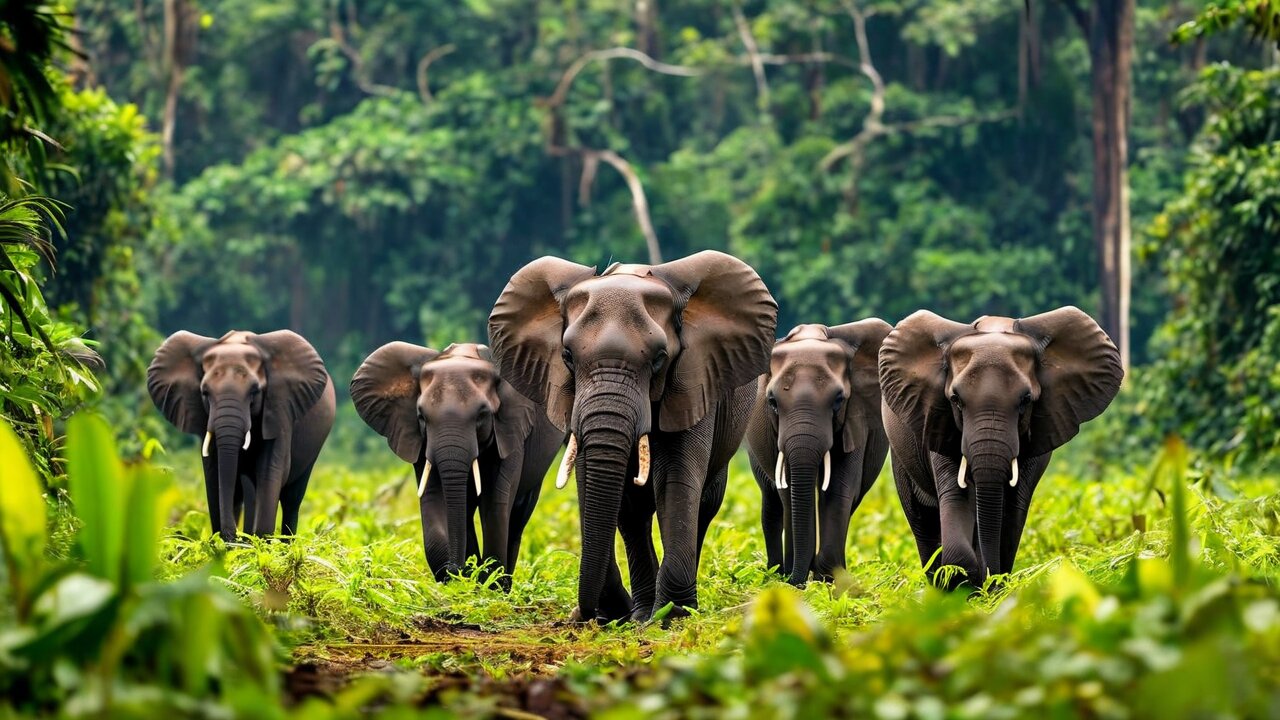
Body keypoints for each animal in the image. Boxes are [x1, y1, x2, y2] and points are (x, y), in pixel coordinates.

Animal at [147, 330, 336, 541]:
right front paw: (226, 543)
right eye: (205, 393)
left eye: (255, 391)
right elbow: (215, 475)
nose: (233, 536)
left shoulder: (280, 410)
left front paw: (260, 542)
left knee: (291, 498)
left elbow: (269, 470)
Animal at [349, 341, 562, 588]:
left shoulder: (510, 430)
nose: (457, 568)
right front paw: (459, 582)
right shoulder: (421, 440)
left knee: (518, 514)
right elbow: (433, 496)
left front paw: (489, 587)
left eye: (482, 414)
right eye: (421, 416)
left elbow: (495, 499)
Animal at [489, 250, 777, 622]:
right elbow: (602, 487)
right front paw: (631, 615)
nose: (583, 615)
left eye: (659, 359)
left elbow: (676, 479)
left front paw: (672, 615)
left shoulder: (692, 380)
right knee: (636, 513)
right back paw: (641, 612)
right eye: (567, 357)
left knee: (704, 504)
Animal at [744, 320, 892, 586]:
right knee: (771, 500)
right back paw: (776, 572)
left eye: (838, 400)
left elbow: (838, 486)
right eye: (772, 401)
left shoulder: (855, 416)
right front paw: (797, 579)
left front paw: (828, 578)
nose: (799, 579)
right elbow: (788, 490)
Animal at [878, 307, 1123, 588]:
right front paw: (964, 583)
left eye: (1026, 400)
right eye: (956, 400)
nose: (989, 579)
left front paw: (992, 587)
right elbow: (957, 496)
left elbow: (1013, 507)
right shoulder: (940, 421)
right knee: (921, 517)